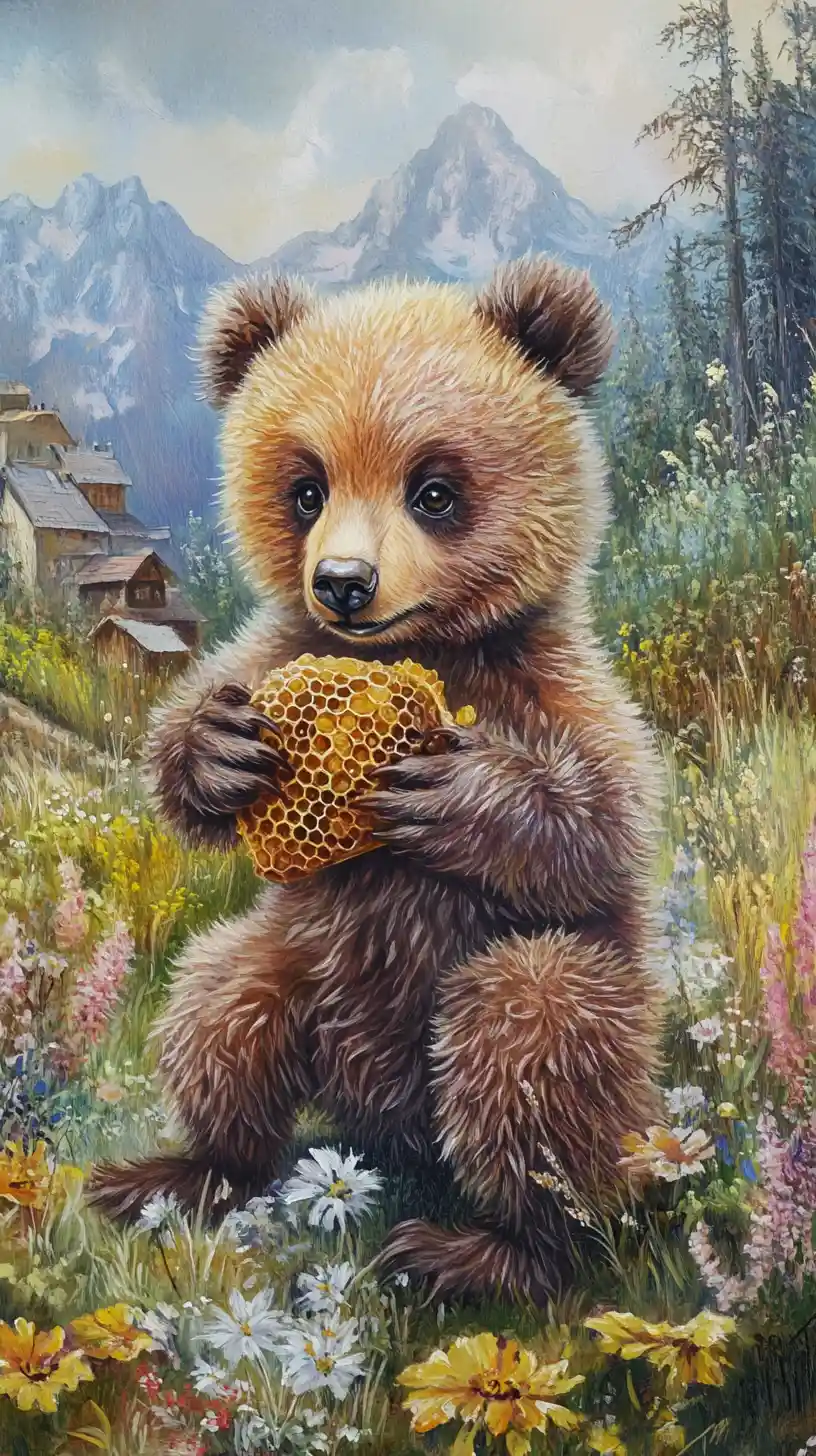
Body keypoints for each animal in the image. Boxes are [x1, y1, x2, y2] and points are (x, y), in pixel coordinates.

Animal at [90, 257, 664, 1304]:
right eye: (306, 488)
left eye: (433, 490)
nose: (344, 584)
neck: (422, 648)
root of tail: (387, 1129)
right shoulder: (278, 646)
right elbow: (181, 748)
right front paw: (220, 748)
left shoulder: (552, 684)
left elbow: (603, 821)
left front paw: (451, 792)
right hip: (294, 960)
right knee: (218, 1010)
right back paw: (185, 1173)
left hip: (567, 1003)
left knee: (531, 1037)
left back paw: (487, 1249)